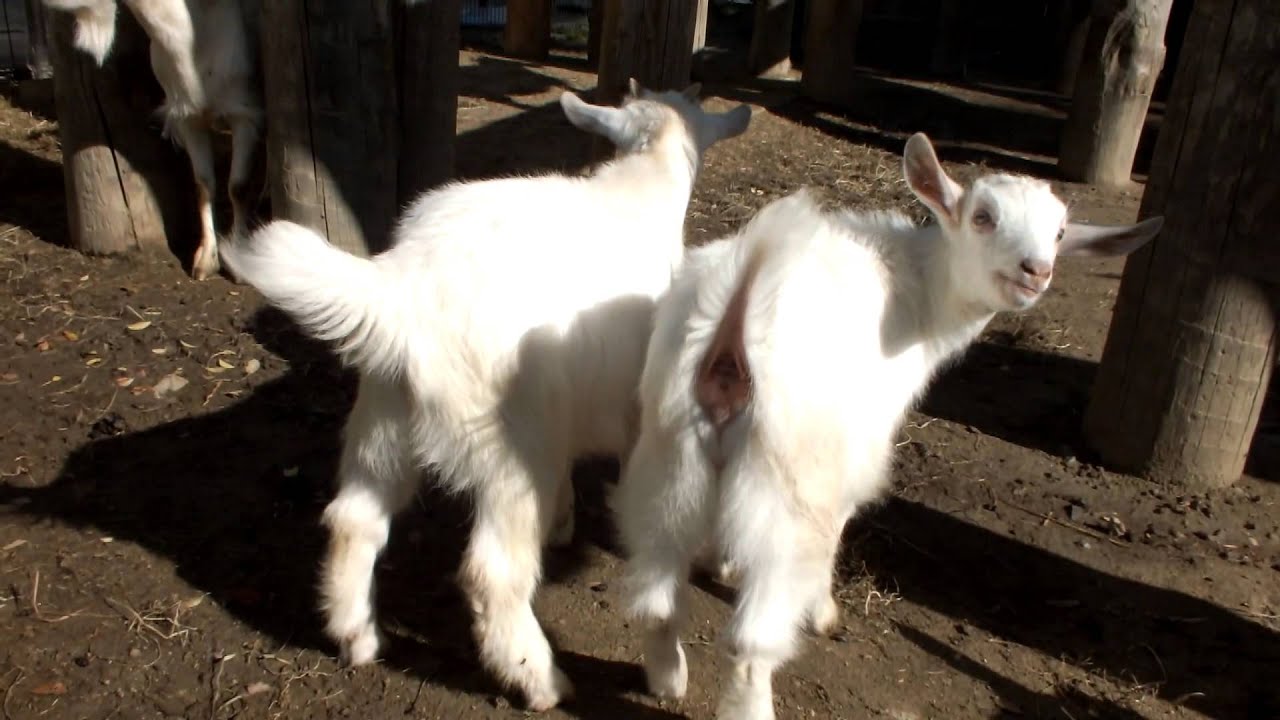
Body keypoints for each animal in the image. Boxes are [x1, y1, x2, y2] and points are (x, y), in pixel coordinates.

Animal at [43, 0, 262, 281]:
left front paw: (239, 256)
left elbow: (238, 187)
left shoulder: (245, 114)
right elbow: (204, 185)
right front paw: (206, 259)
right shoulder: (188, 118)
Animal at [218, 81, 752, 710]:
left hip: (383, 418)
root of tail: (406, 288)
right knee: (491, 574)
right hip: (510, 450)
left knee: (353, 519)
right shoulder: (635, 407)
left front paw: (565, 520)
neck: (639, 186)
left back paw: (357, 637)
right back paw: (540, 680)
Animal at [614, 133, 1163, 720]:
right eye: (984, 217)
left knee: (657, 596)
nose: (1035, 270)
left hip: (670, 458)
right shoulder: (853, 456)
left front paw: (723, 564)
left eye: (1060, 233)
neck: (920, 294)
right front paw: (822, 611)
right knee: (750, 639)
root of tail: (736, 324)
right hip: (788, 490)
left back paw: (667, 680)